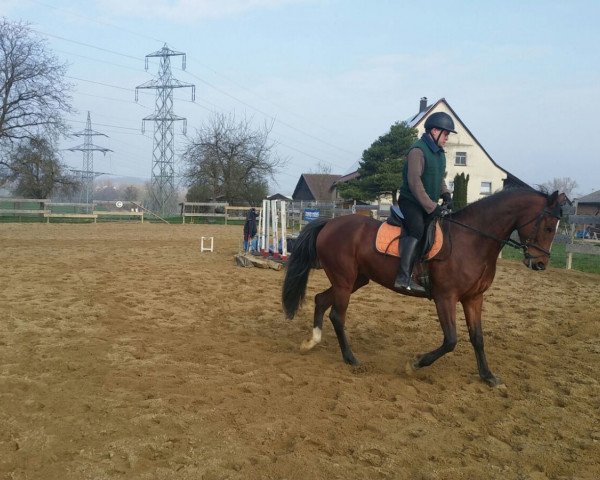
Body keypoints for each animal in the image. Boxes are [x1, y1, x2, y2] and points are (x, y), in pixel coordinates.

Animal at [282, 188, 568, 386]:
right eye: (547, 226)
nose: (540, 264)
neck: (472, 240)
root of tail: (330, 223)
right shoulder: (446, 298)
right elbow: (451, 340)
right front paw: (415, 364)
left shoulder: (474, 298)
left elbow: (477, 338)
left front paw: (488, 376)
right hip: (344, 281)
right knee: (337, 315)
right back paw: (351, 359)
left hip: (355, 280)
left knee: (320, 300)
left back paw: (312, 341)